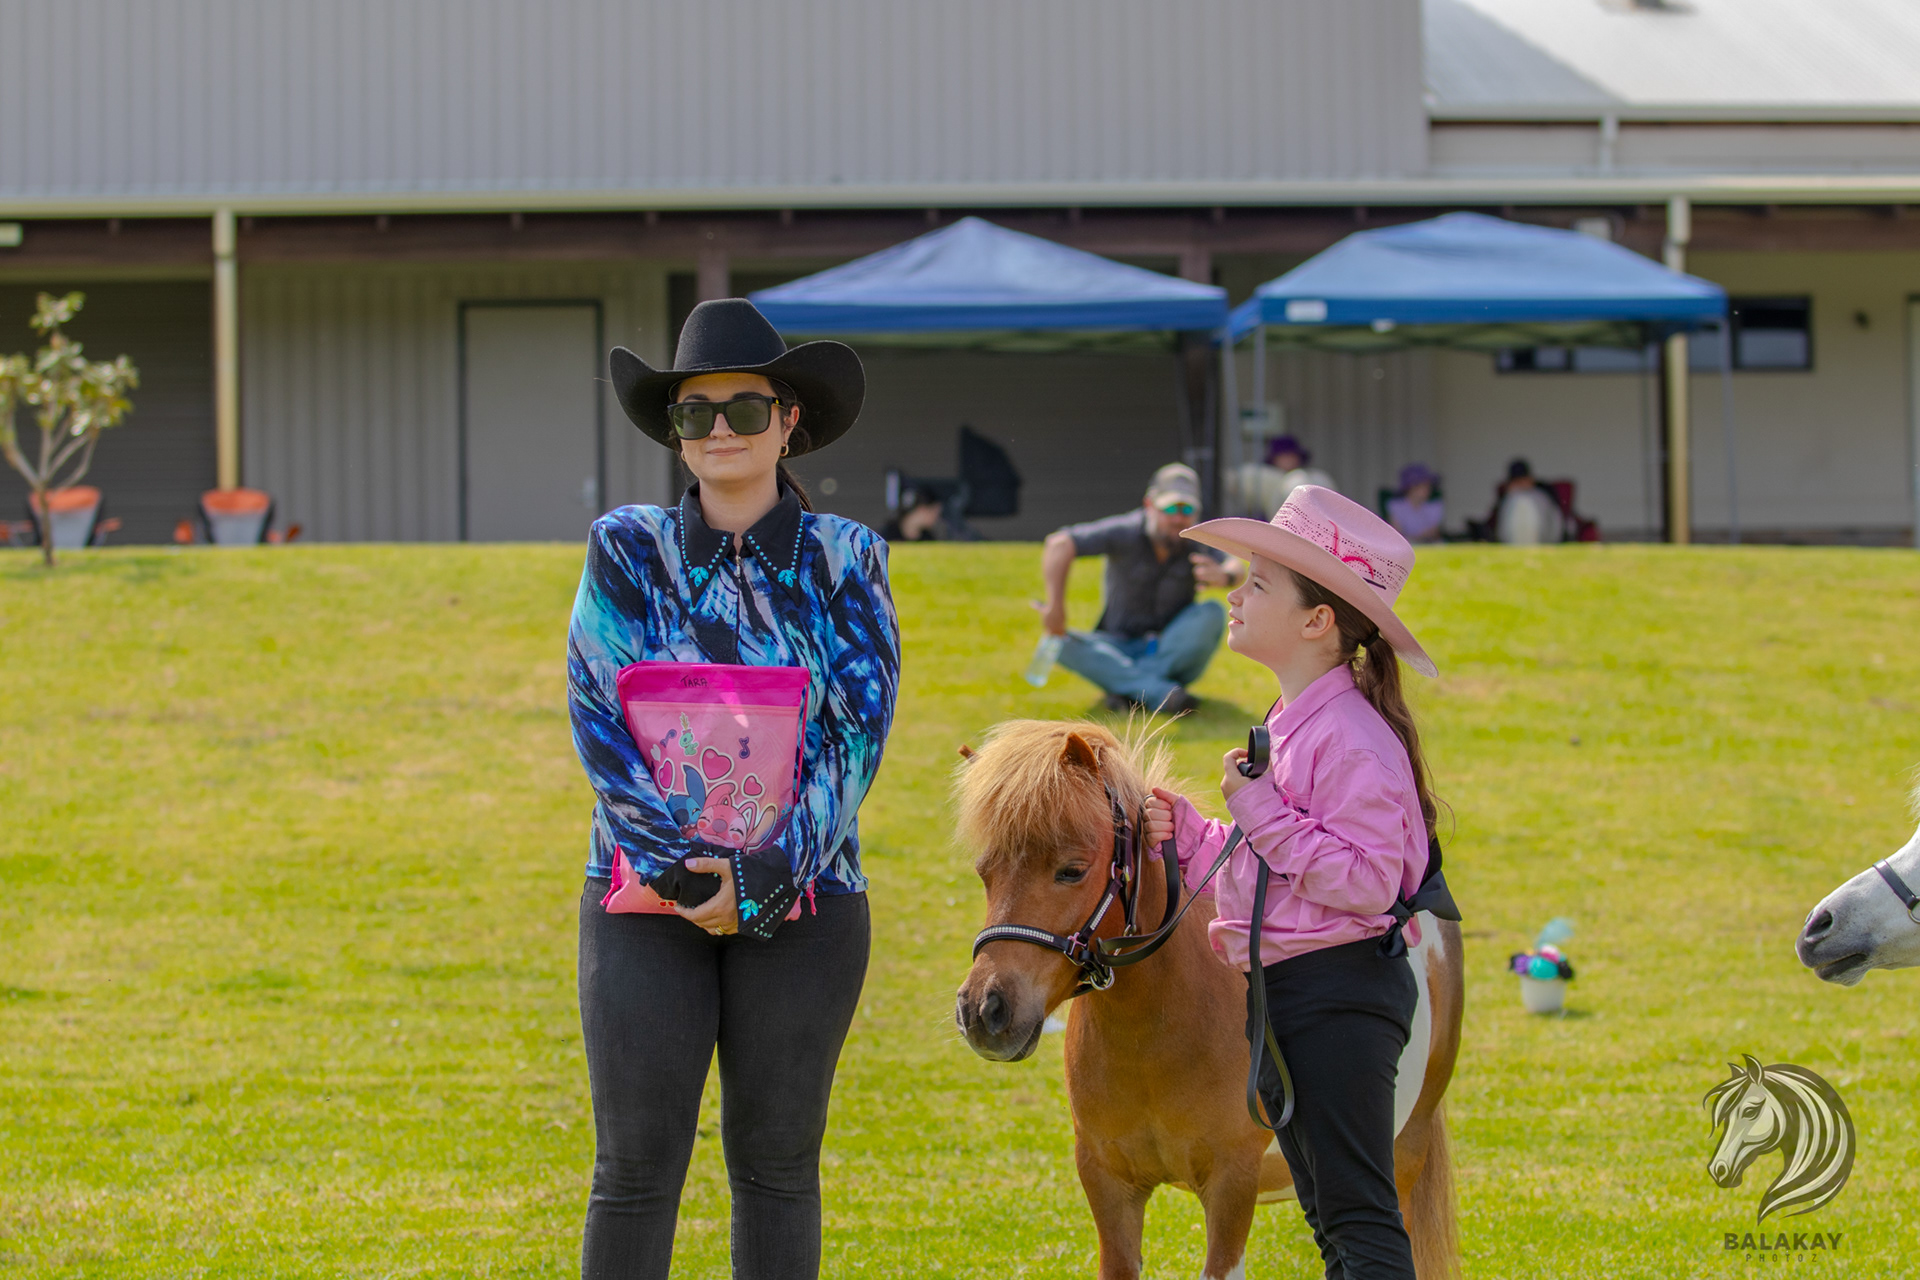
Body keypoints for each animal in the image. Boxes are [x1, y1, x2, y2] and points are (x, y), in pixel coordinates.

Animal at [951, 719, 1463, 1280]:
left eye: (1071, 870)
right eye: (984, 871)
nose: (984, 1011)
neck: (1155, 1036)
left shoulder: (1231, 1183)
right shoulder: (1107, 1180)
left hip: (1403, 1153)